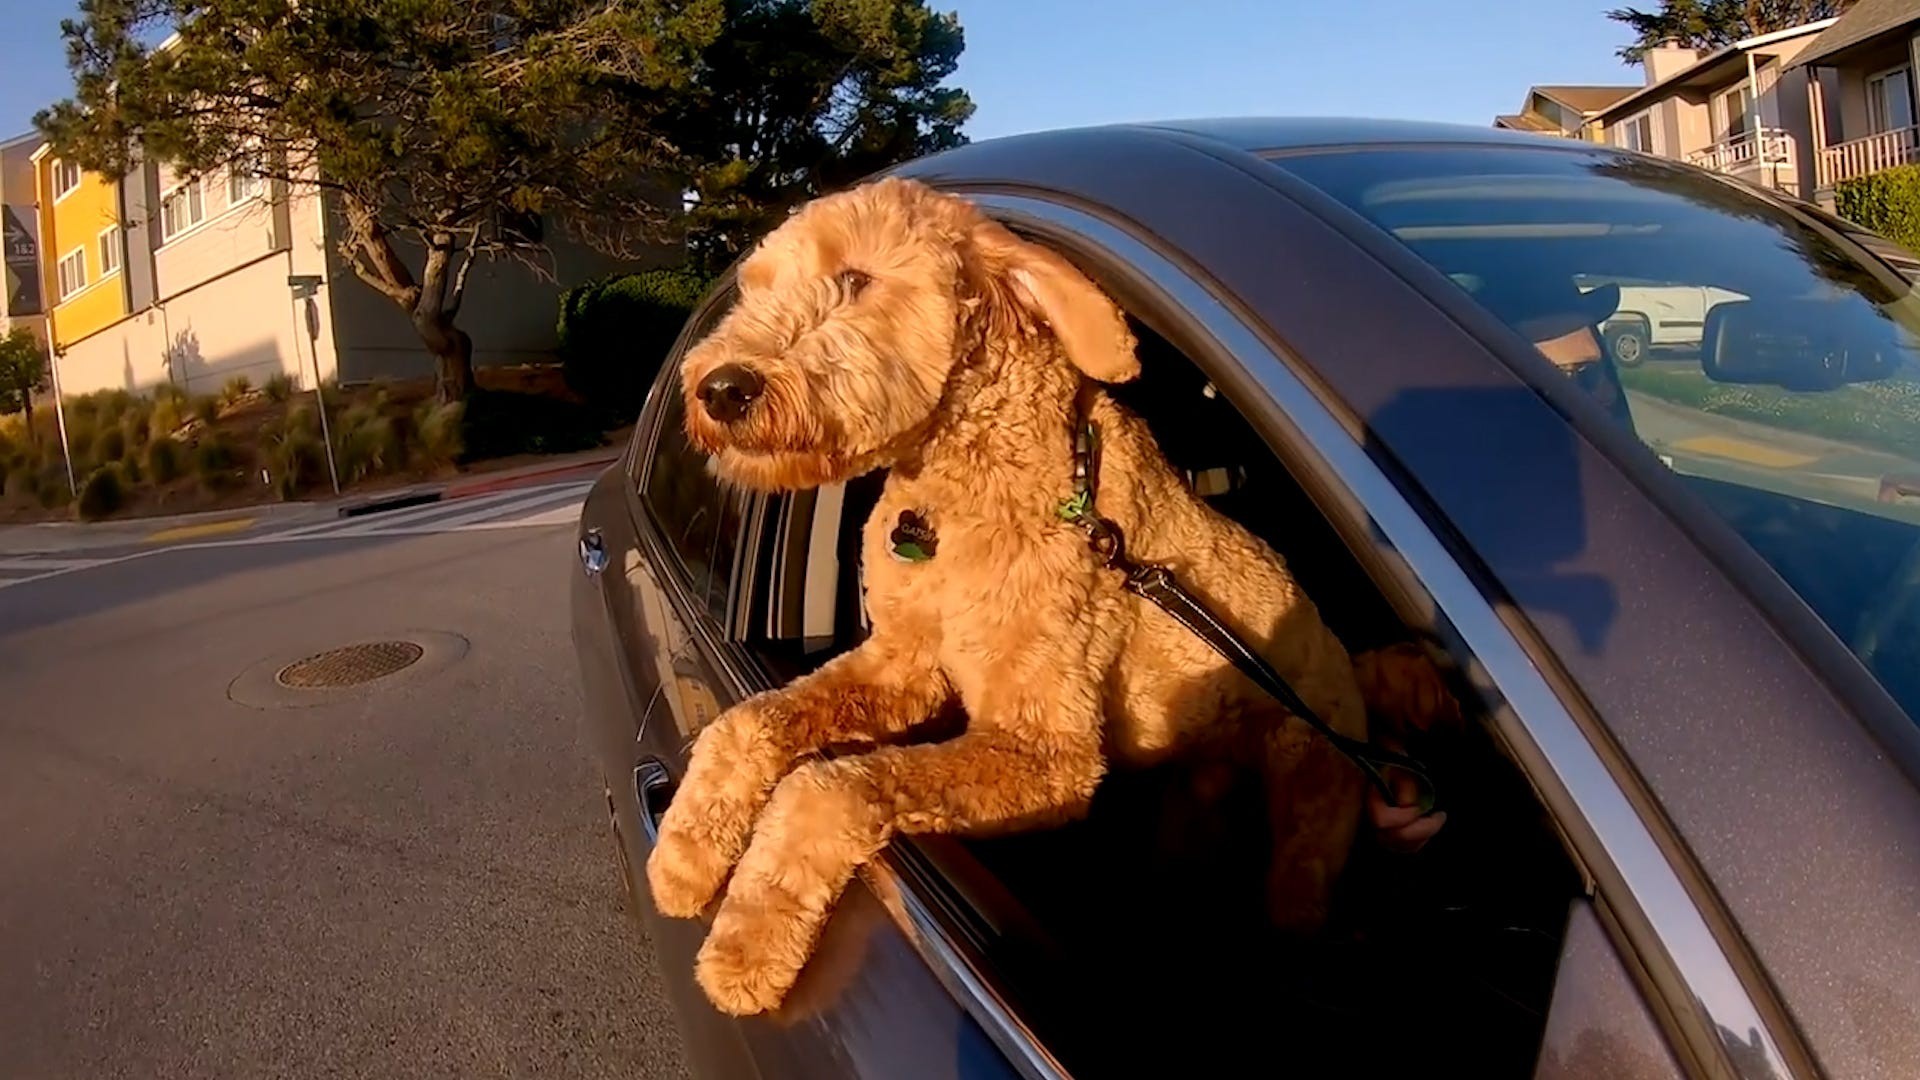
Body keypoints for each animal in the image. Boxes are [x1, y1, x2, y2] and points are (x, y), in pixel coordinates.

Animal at [648, 171, 1443, 1014]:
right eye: (756, 289)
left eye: (856, 279)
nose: (718, 388)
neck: (971, 482)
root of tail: (1350, 664)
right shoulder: (903, 663)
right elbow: (750, 721)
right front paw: (684, 860)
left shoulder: (1047, 749)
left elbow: (834, 786)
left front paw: (744, 948)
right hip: (1199, 795)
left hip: (1309, 807)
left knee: (1298, 905)